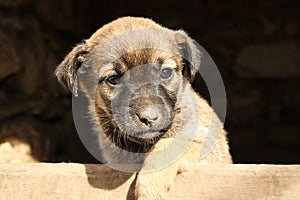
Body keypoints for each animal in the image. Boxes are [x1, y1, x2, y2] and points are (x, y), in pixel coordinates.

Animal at [55, 16, 232, 199]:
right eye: (113, 79)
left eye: (166, 72)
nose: (149, 118)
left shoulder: (203, 140)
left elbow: (168, 144)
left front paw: (150, 187)